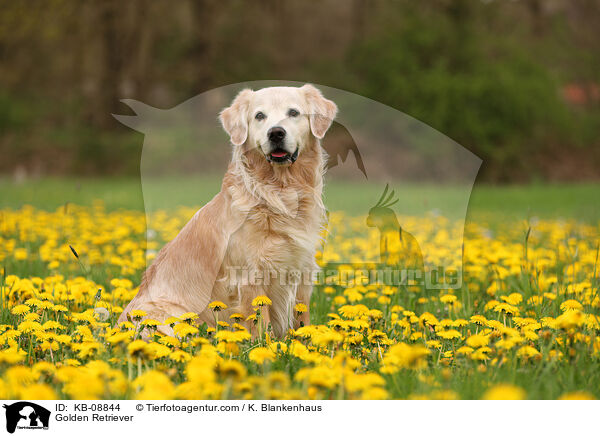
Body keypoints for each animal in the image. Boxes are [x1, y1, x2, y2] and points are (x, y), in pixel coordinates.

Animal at [117, 84, 338, 338]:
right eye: (259, 116)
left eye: (293, 113)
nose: (276, 133)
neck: (279, 192)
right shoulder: (249, 277)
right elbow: (260, 326)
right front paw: (268, 346)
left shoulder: (302, 270)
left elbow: (303, 319)